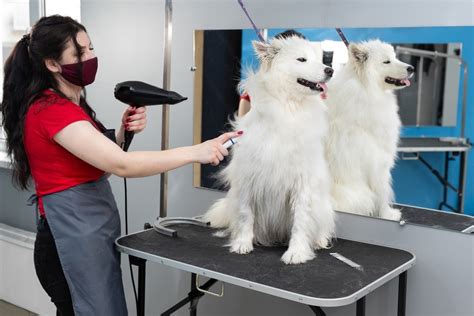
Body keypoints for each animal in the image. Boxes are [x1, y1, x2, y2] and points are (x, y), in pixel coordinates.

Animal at [204, 36, 336, 264]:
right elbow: (245, 214)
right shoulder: (248, 176)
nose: (330, 70)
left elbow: (301, 220)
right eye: (301, 59)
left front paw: (296, 252)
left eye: (320, 58)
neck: (287, 107)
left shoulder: (303, 181)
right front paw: (242, 244)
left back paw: (319, 241)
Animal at [326, 39, 414, 220]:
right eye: (386, 61)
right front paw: (388, 214)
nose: (412, 68)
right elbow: (382, 192)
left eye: (395, 57)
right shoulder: (378, 162)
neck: (366, 89)